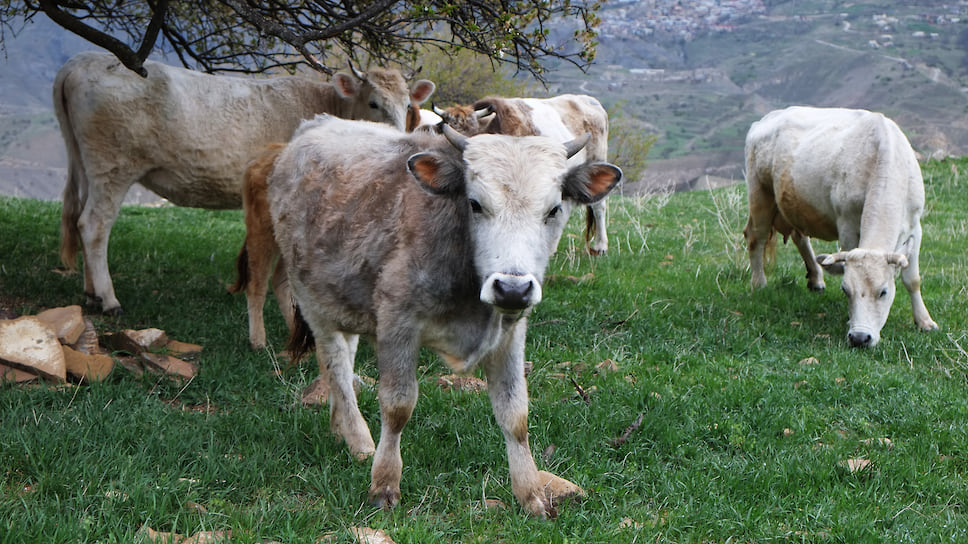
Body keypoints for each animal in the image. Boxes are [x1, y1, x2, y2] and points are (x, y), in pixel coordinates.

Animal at [52, 52, 432, 314]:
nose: (397, 140)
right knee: (94, 224)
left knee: (79, 215)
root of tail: (83, 60)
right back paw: (108, 298)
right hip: (113, 166)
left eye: (407, 105)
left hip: (84, 164)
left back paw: (91, 292)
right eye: (373, 102)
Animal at [268, 116, 624, 520]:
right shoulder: (398, 325)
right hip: (313, 303)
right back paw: (358, 439)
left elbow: (515, 413)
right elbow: (397, 406)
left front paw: (530, 494)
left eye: (553, 209)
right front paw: (384, 485)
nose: (512, 288)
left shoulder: (510, 334)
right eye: (475, 203)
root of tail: (316, 125)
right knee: (337, 366)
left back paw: (339, 425)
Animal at [740, 105, 936, 348]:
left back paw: (816, 278)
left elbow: (912, 279)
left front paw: (924, 321)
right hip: (760, 193)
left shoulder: (915, 227)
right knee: (755, 238)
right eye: (845, 290)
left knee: (799, 236)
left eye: (884, 292)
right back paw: (759, 284)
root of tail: (765, 119)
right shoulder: (847, 225)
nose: (860, 337)